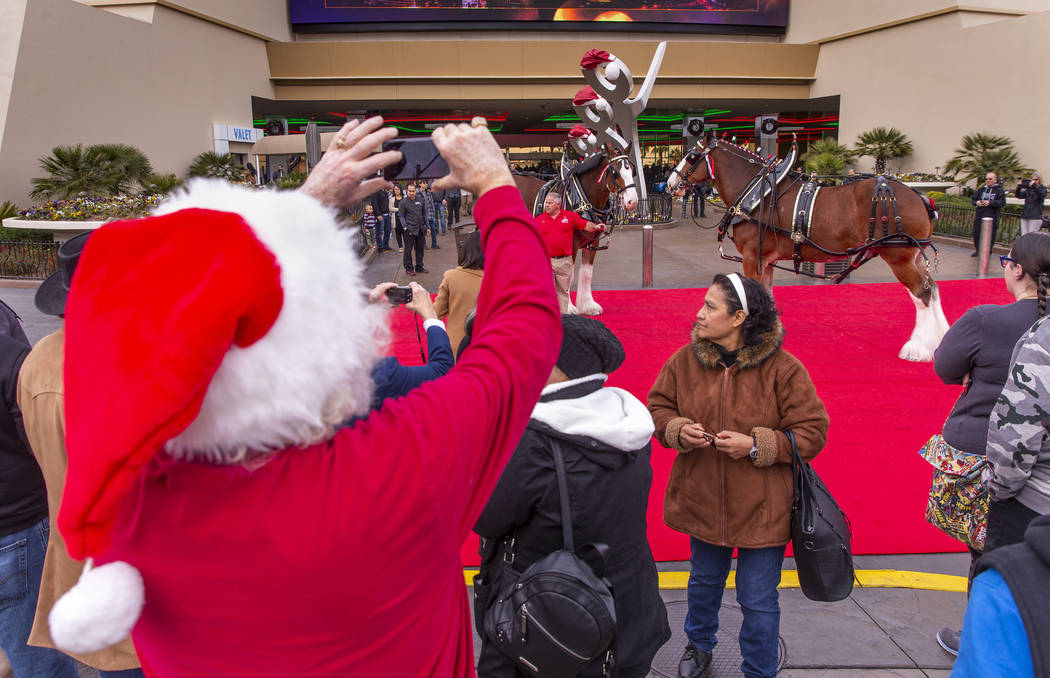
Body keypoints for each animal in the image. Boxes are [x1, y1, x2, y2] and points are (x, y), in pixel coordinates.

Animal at [512, 150, 634, 314]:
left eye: (632, 169)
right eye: (615, 171)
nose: (632, 201)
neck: (581, 199)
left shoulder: (593, 243)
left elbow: (587, 273)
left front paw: (589, 305)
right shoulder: (571, 244)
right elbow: (568, 274)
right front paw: (568, 307)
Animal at [672, 135, 953, 363]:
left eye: (692, 156)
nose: (671, 182)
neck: (758, 195)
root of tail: (920, 197)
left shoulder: (752, 257)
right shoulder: (767, 259)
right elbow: (766, 294)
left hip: (899, 257)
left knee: (922, 294)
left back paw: (918, 349)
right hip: (914, 257)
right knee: (932, 288)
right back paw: (941, 341)